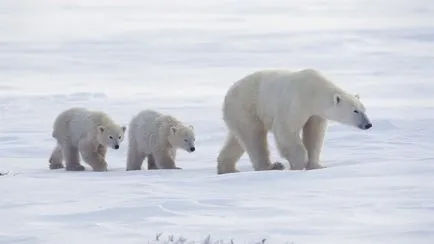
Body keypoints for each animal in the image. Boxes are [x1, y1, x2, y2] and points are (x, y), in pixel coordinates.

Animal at [217, 68, 372, 174]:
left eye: (364, 109)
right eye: (355, 111)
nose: (368, 124)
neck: (314, 91)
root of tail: (228, 93)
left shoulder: (316, 114)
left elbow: (314, 134)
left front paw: (317, 165)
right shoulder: (296, 102)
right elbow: (286, 131)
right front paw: (298, 164)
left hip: (239, 113)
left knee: (237, 139)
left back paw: (228, 169)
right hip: (247, 106)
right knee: (254, 136)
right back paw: (271, 166)